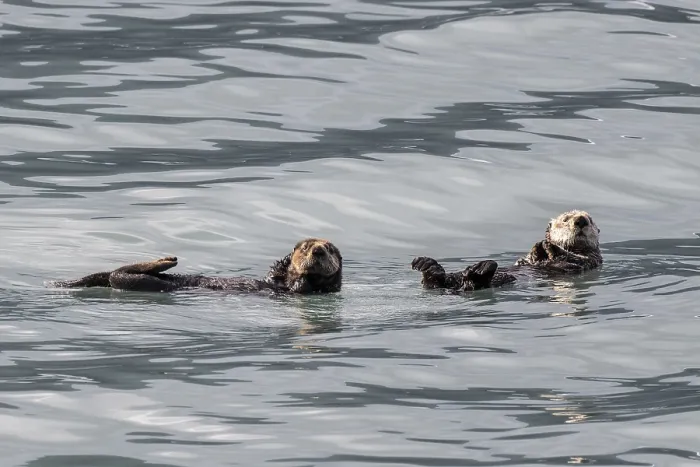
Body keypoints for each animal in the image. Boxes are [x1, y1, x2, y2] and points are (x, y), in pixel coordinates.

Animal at [412, 210, 602, 292]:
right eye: (565, 219)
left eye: (590, 219)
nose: (581, 220)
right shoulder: (527, 259)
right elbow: (529, 257)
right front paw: (539, 245)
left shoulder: (590, 259)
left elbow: (574, 258)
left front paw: (549, 246)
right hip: (454, 278)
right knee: (439, 280)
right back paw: (426, 264)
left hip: (494, 280)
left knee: (475, 282)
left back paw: (480, 269)